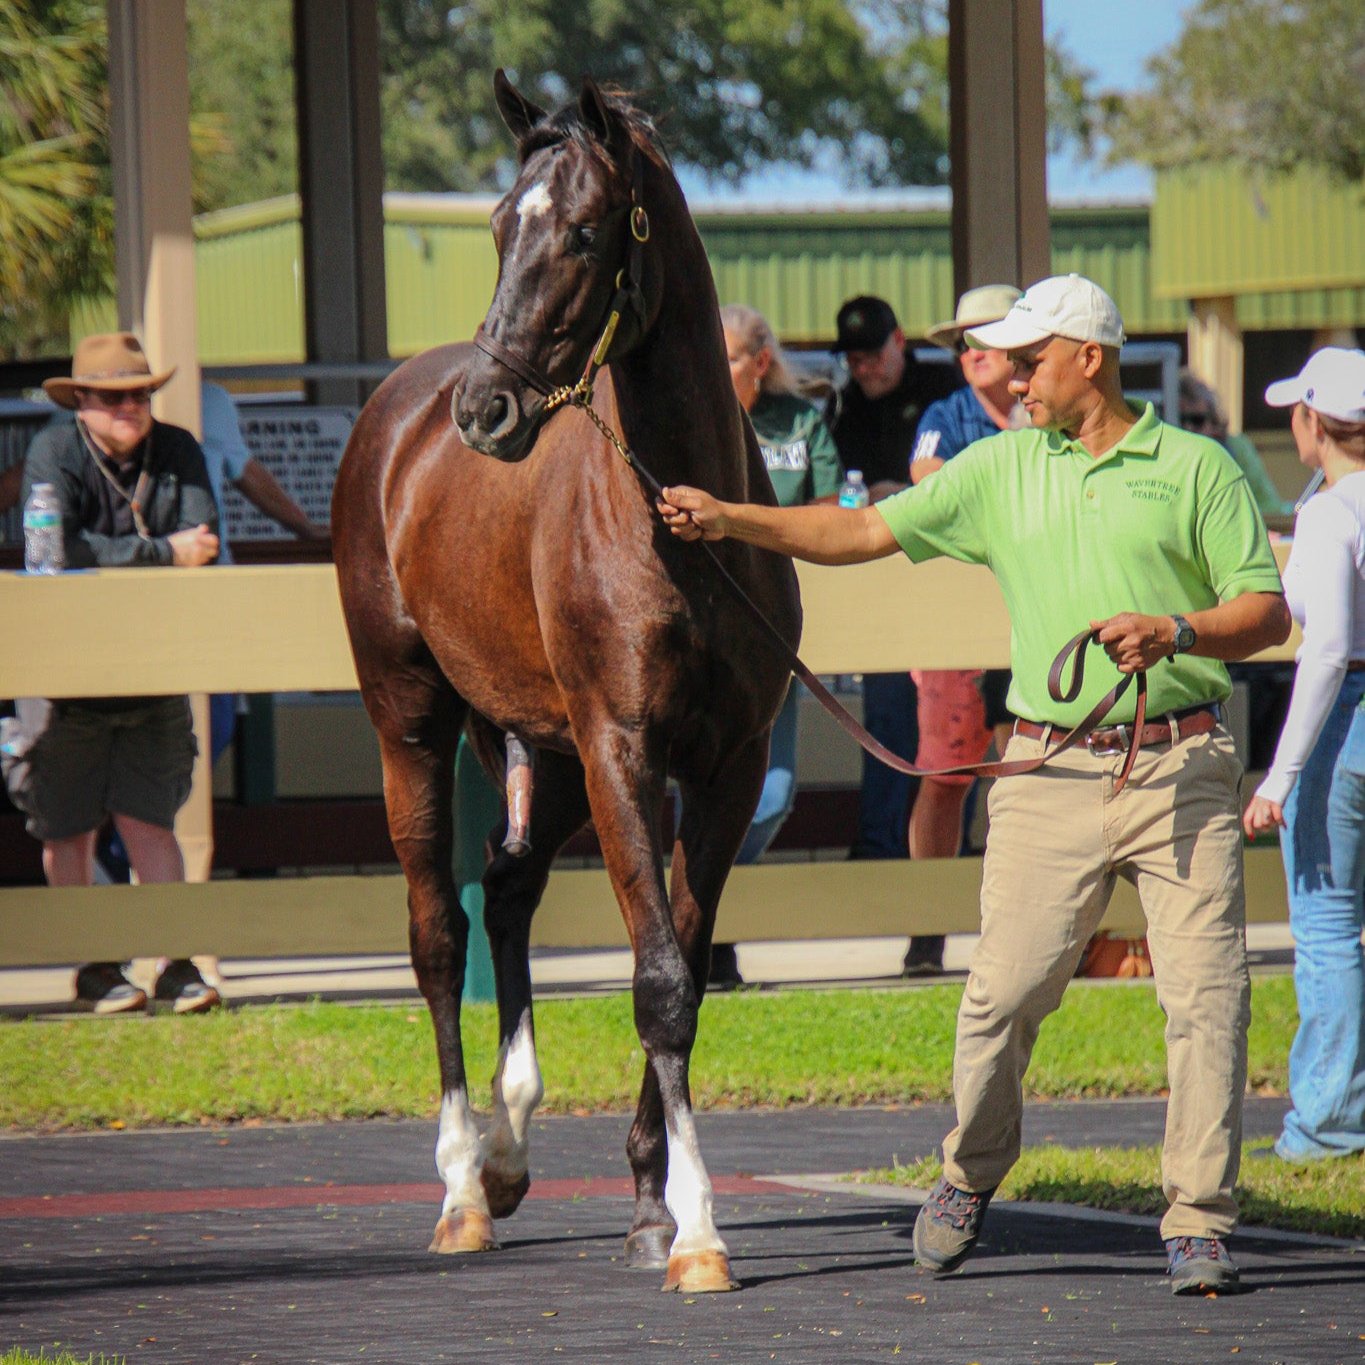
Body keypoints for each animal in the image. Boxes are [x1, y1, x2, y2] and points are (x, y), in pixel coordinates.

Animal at [331, 72, 797, 1288]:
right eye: (500, 227)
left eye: (584, 231)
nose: (483, 413)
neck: (678, 523)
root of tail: (396, 415)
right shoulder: (621, 745)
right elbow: (660, 980)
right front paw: (698, 1230)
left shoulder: (723, 768)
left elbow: (680, 962)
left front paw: (650, 1205)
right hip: (415, 725)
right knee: (438, 932)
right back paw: (461, 1184)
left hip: (540, 750)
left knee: (506, 890)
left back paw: (506, 1150)